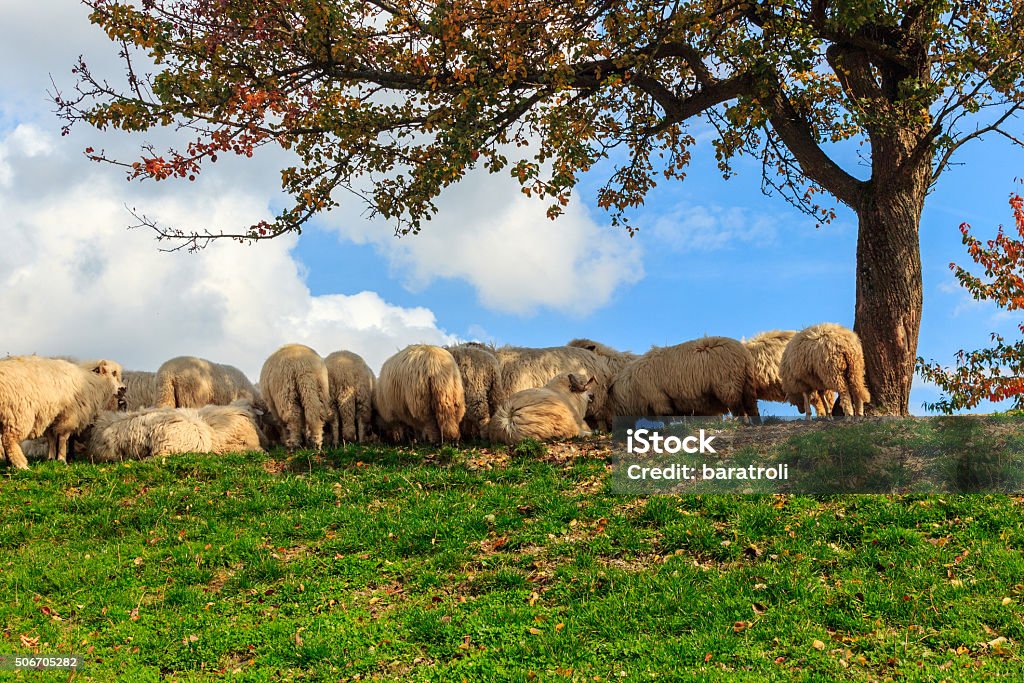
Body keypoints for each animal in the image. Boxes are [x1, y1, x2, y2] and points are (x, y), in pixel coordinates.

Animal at [606, 335, 761, 421]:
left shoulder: (659, 399)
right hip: (747, 384)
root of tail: (743, 353)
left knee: (738, 409)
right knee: (752, 408)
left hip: (729, 386)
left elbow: (666, 418)